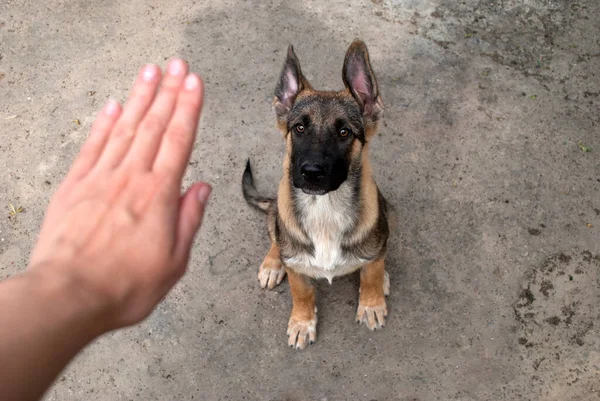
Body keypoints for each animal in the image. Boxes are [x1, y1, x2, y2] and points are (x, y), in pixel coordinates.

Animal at [241, 39, 392, 348]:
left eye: (344, 132)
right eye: (299, 128)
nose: (311, 172)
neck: (325, 208)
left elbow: (370, 275)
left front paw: (371, 302)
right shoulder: (297, 270)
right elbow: (302, 293)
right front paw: (302, 322)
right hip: (277, 214)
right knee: (275, 235)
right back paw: (273, 264)